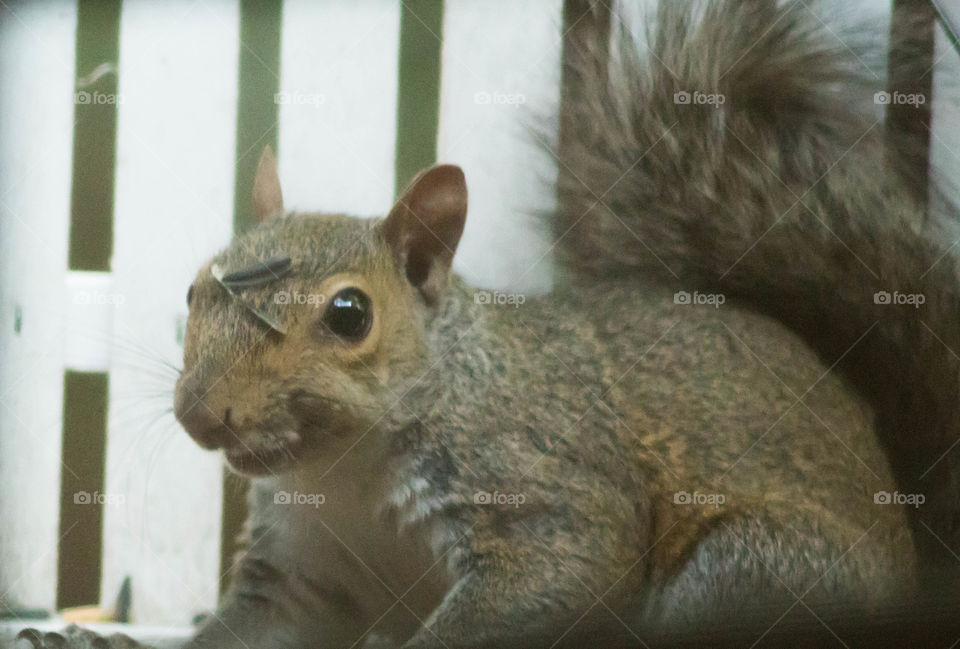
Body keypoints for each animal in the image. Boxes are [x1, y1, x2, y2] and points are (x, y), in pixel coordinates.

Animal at [16, 1, 959, 648]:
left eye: (349, 314)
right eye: (191, 292)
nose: (200, 412)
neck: (348, 470)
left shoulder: (543, 489)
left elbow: (562, 564)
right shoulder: (303, 568)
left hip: (753, 568)